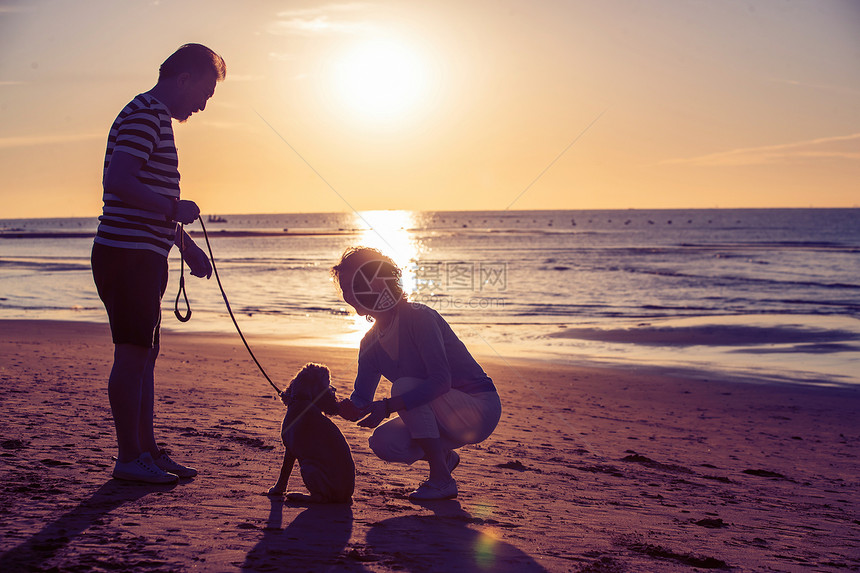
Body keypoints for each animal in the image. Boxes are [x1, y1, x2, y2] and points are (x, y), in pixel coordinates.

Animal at [266, 362, 352, 500]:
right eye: (328, 381)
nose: (335, 389)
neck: (302, 399)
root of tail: (346, 496)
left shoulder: (289, 450)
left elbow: (284, 471)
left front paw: (277, 490)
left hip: (308, 467)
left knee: (319, 497)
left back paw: (297, 495)